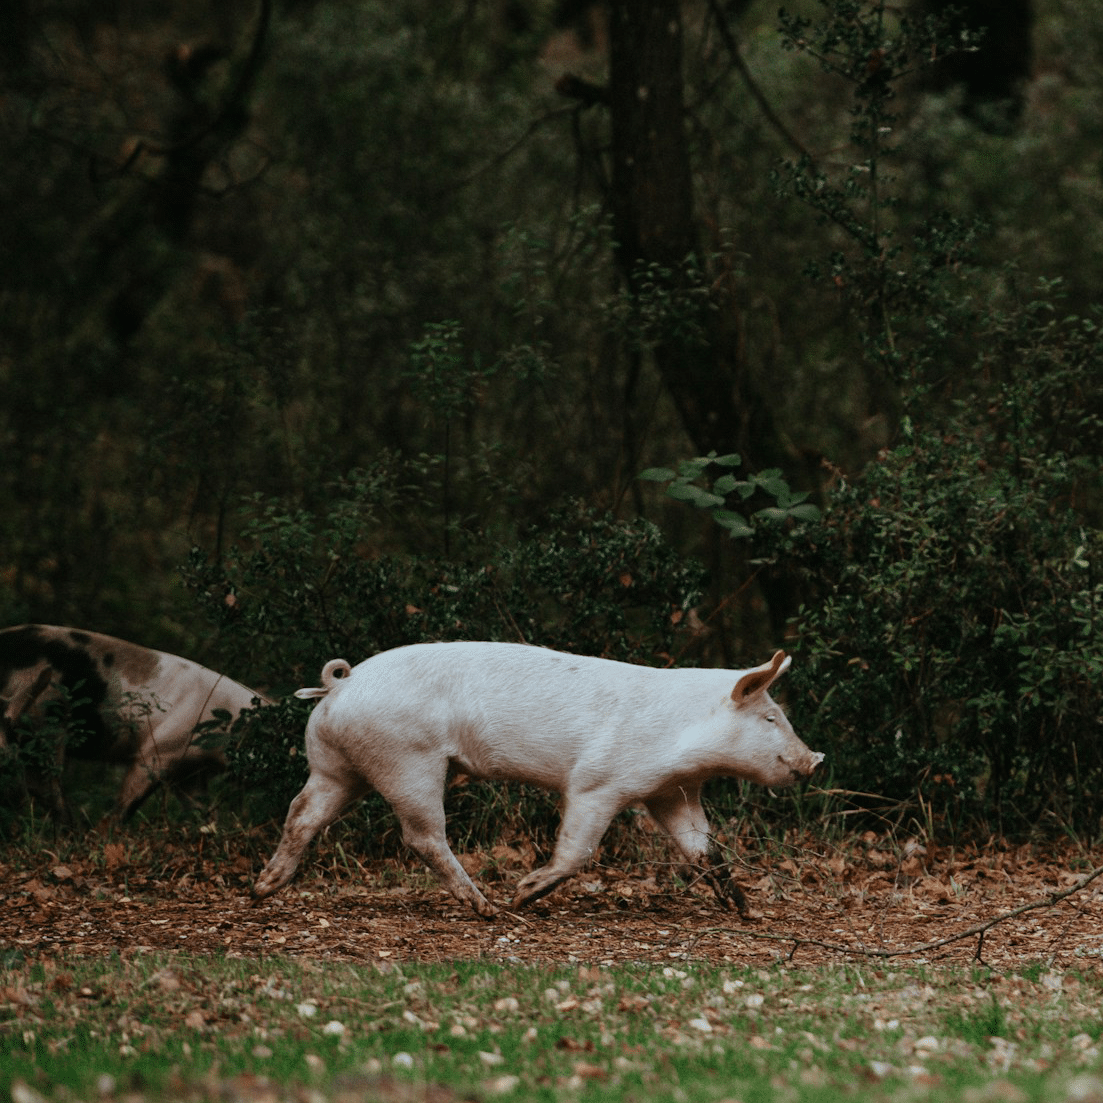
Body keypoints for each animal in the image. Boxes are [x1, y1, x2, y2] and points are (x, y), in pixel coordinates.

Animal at [0, 624, 269, 820]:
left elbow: (203, 811)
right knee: (44, 785)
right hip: (46, 721)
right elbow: (127, 803)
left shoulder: (189, 773)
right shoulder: (157, 751)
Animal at [253, 641, 823, 916]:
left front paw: (747, 912)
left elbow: (705, 850)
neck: (682, 739)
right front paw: (524, 893)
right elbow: (579, 848)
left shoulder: (671, 793)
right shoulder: (597, 783)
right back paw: (491, 910)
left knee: (301, 812)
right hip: (408, 761)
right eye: (770, 718)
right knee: (422, 836)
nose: (815, 759)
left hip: (336, 766)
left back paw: (263, 888)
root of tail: (341, 686)